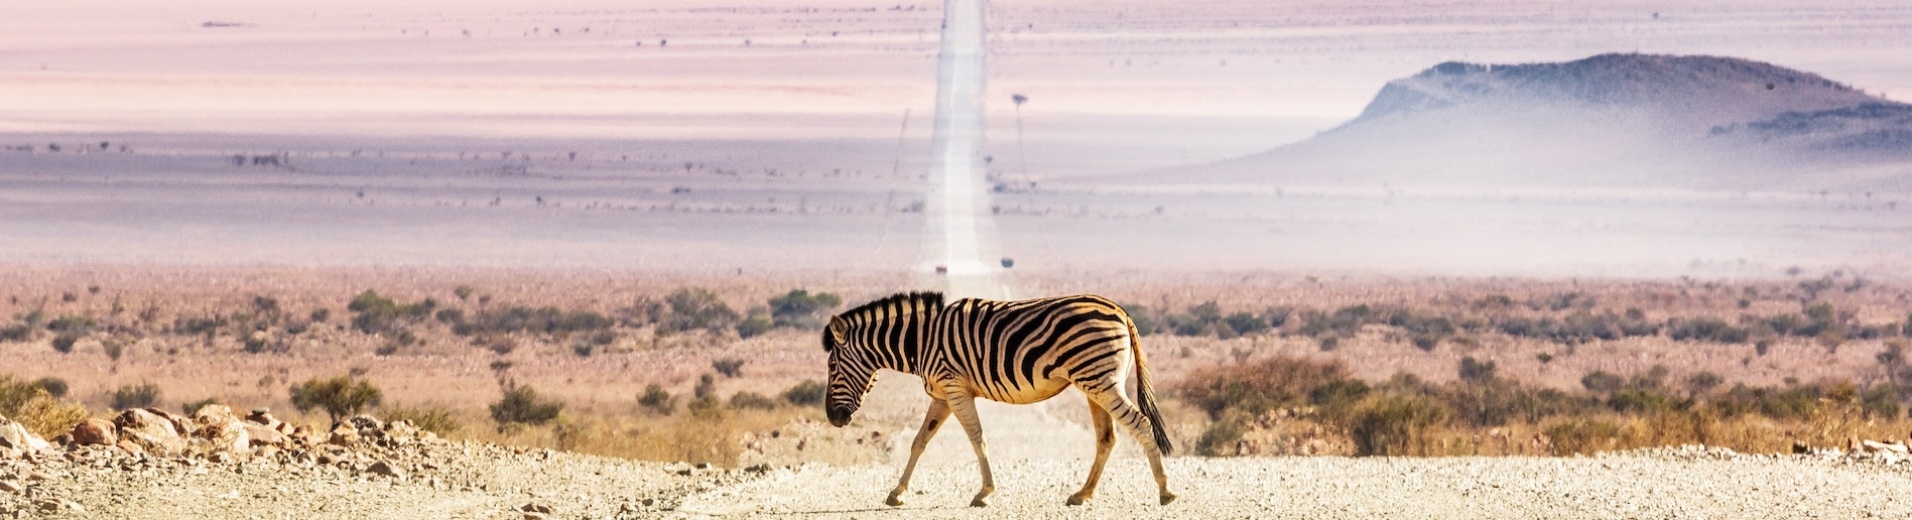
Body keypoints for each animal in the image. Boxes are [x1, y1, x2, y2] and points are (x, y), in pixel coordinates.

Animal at [818, 292, 1170, 508]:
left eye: (832, 366)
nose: (834, 419)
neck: (921, 341)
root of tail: (1120, 310)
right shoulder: (942, 395)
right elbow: (920, 442)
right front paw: (897, 493)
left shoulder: (955, 388)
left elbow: (977, 438)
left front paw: (984, 493)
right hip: (1094, 383)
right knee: (1107, 437)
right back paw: (1083, 494)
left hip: (1101, 380)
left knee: (1140, 423)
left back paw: (1165, 490)